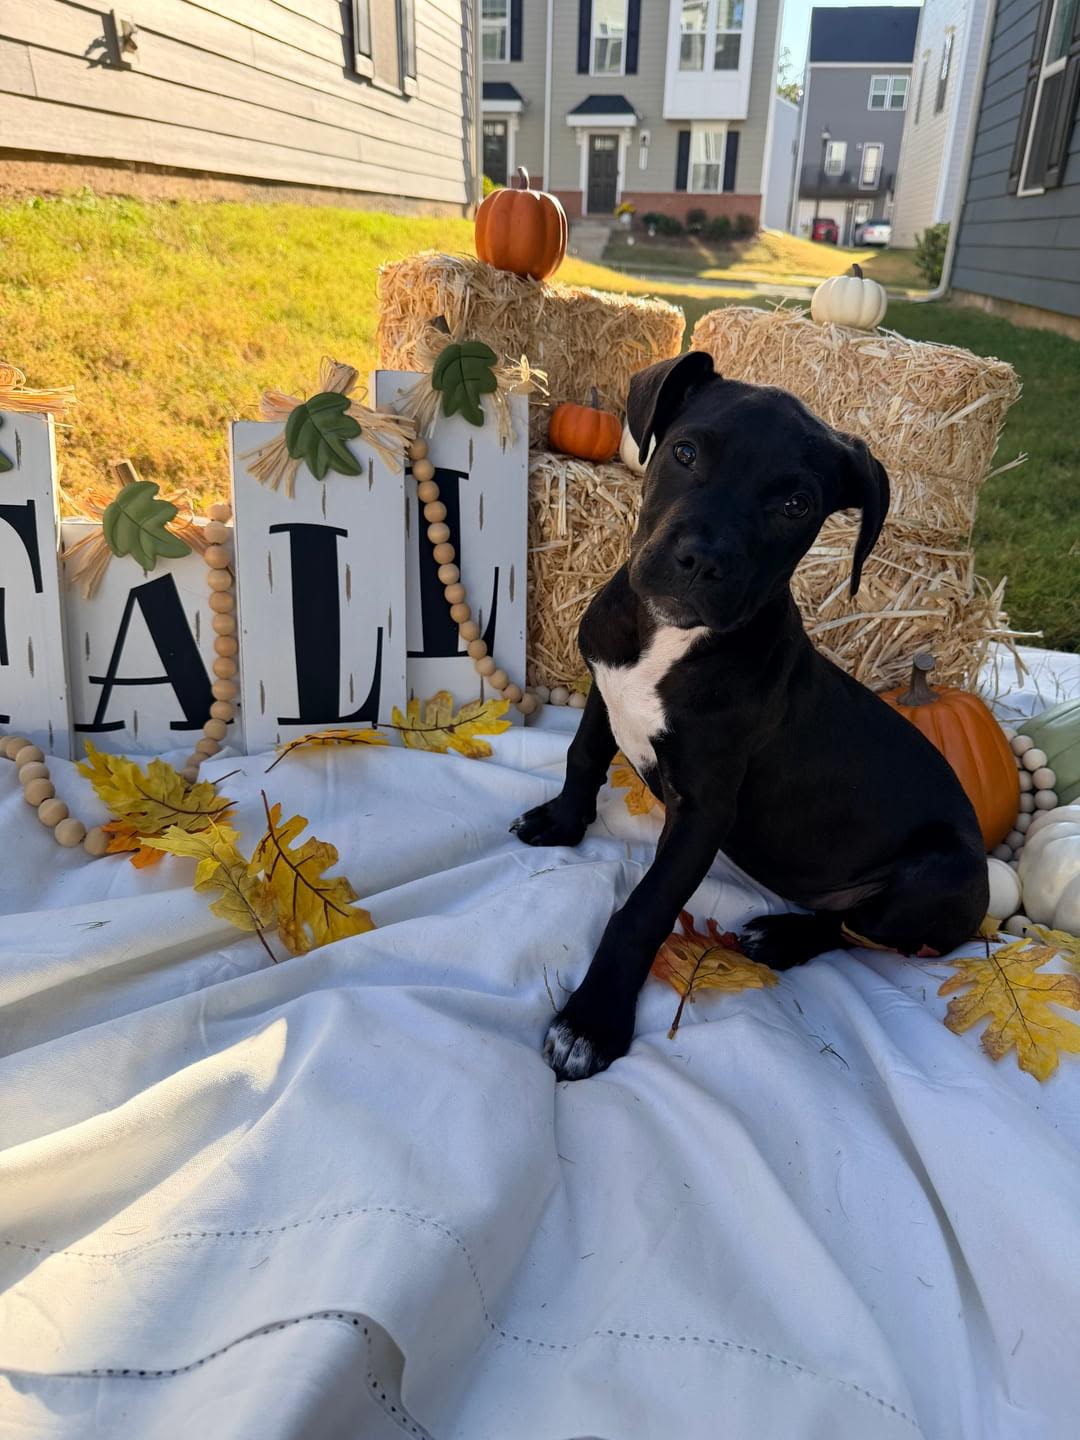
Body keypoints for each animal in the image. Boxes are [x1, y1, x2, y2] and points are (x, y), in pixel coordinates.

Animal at [512, 352, 988, 1081]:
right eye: (684, 452)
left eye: (795, 505)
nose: (702, 560)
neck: (670, 641)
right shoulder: (603, 684)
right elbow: (583, 755)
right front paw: (562, 822)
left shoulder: (704, 812)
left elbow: (642, 910)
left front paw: (590, 1023)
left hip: (940, 873)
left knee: (854, 931)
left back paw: (784, 937)